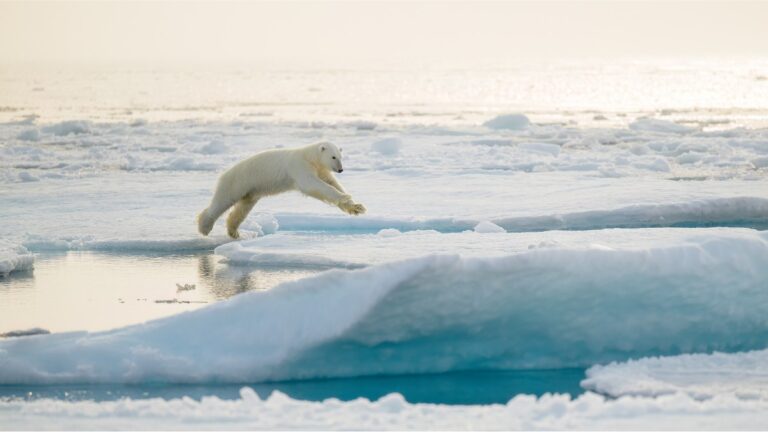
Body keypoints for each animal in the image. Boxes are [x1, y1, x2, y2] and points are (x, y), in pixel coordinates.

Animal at [197, 141, 366, 239]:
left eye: (340, 156)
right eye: (333, 157)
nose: (341, 169)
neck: (309, 156)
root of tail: (224, 174)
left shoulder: (321, 170)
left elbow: (332, 182)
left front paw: (356, 207)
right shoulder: (300, 166)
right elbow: (313, 185)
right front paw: (345, 198)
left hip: (251, 191)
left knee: (243, 207)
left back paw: (234, 232)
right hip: (238, 182)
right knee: (223, 200)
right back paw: (204, 227)